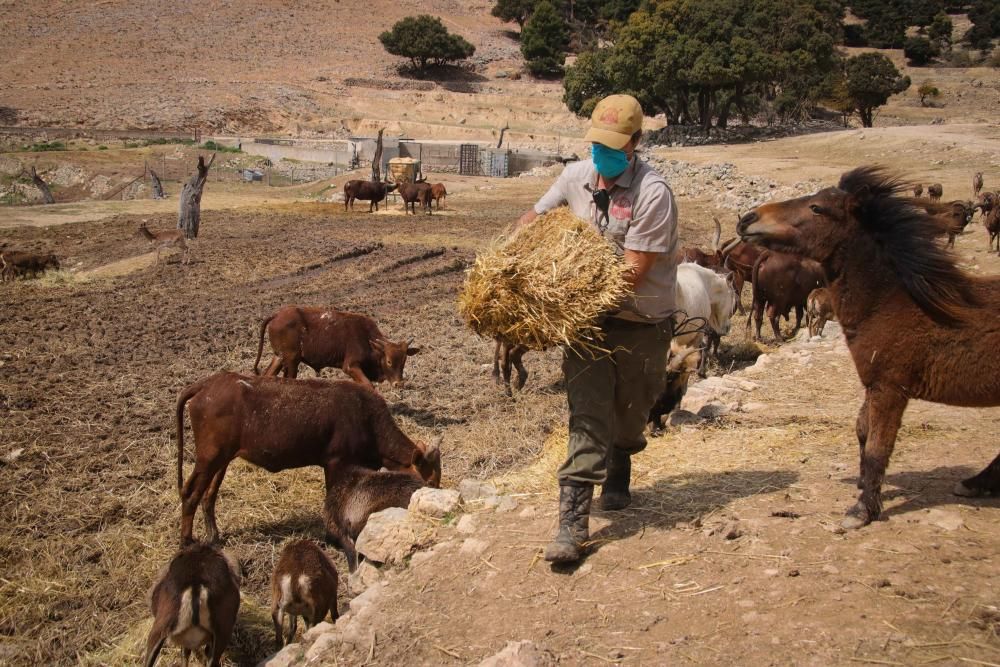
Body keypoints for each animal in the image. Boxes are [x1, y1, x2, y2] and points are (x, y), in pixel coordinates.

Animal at [176, 374, 442, 544]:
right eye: (428, 482)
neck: (366, 417)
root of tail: (207, 385)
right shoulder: (336, 463)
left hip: (222, 458)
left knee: (208, 496)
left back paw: (213, 535)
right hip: (209, 458)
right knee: (190, 494)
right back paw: (186, 541)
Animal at [254, 306, 422, 388]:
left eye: (404, 361)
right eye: (388, 361)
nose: (399, 384)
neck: (367, 341)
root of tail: (277, 316)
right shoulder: (350, 366)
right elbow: (368, 385)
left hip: (279, 357)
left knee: (268, 374)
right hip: (291, 360)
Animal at [736, 168, 1000, 532]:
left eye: (817, 208)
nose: (748, 218)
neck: (890, 301)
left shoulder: (890, 388)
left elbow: (877, 446)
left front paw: (863, 508)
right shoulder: (873, 384)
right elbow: (862, 429)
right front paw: (864, 486)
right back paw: (977, 483)